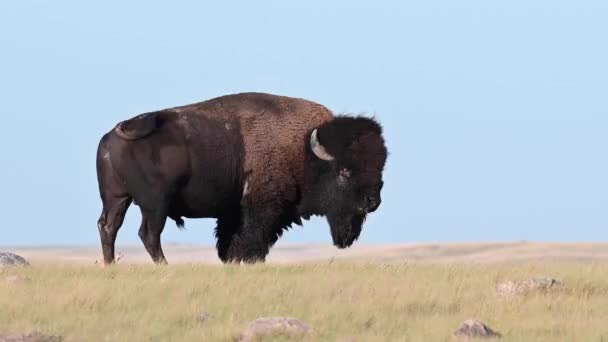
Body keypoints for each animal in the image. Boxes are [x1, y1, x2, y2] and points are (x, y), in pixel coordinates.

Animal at [97, 93, 388, 264]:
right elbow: (250, 237)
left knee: (109, 227)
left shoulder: (233, 211)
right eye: (344, 172)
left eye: (379, 167)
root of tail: (113, 136)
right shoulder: (261, 208)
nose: (372, 201)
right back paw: (164, 266)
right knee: (148, 234)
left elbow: (230, 239)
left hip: (117, 199)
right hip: (155, 204)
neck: (304, 150)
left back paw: (111, 266)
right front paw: (244, 261)